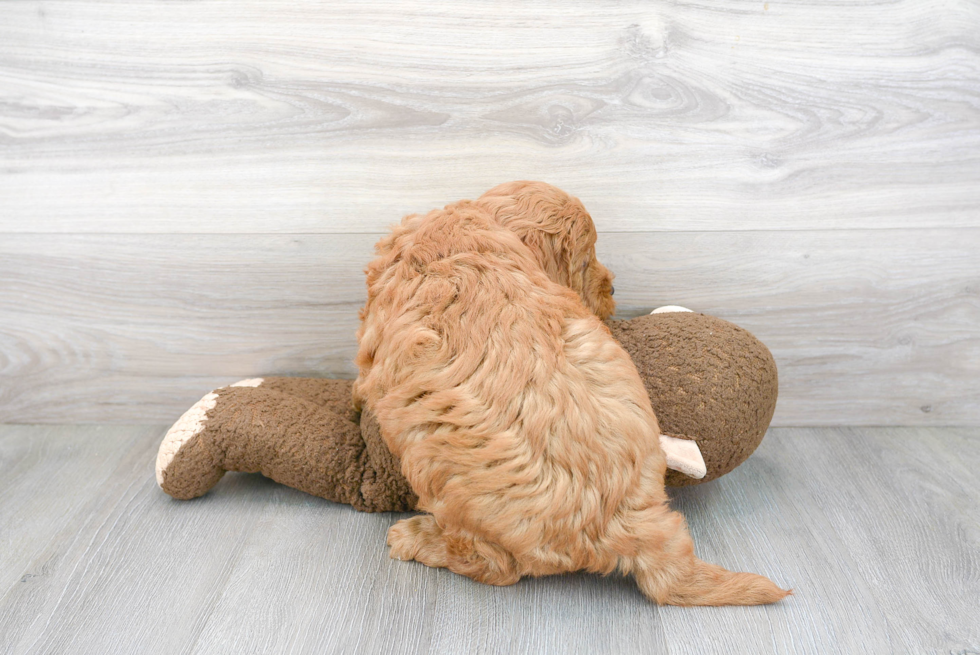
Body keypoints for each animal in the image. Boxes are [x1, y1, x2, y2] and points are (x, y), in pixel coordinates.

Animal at [352, 182, 788, 608]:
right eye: (585, 261)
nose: (613, 286)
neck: (461, 237)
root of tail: (631, 523)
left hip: (444, 487)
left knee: (494, 567)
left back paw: (415, 538)